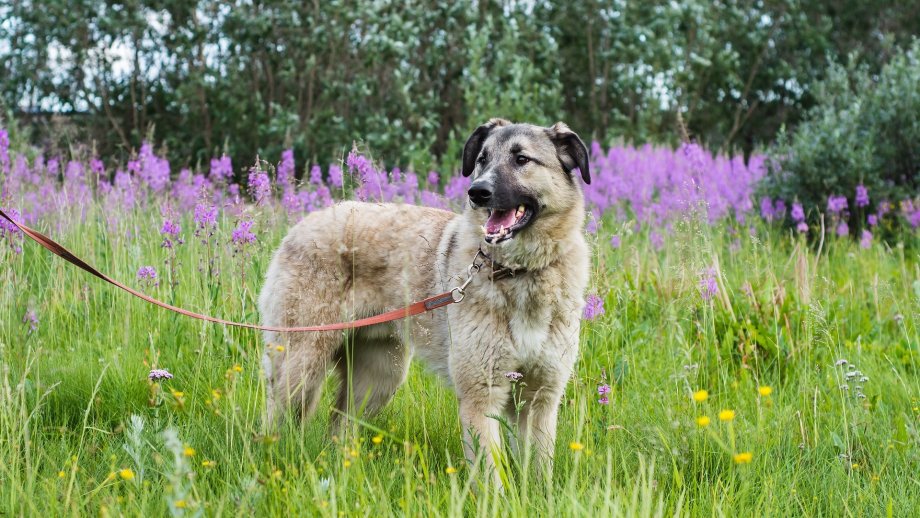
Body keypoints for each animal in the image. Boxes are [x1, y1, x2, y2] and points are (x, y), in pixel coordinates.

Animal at [258, 120, 588, 482]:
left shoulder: (539, 400)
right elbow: (492, 479)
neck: (520, 274)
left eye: (522, 159)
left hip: (378, 378)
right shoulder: (480, 398)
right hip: (302, 368)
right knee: (275, 425)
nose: (477, 192)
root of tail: (302, 225)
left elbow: (539, 474)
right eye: (482, 160)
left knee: (339, 426)